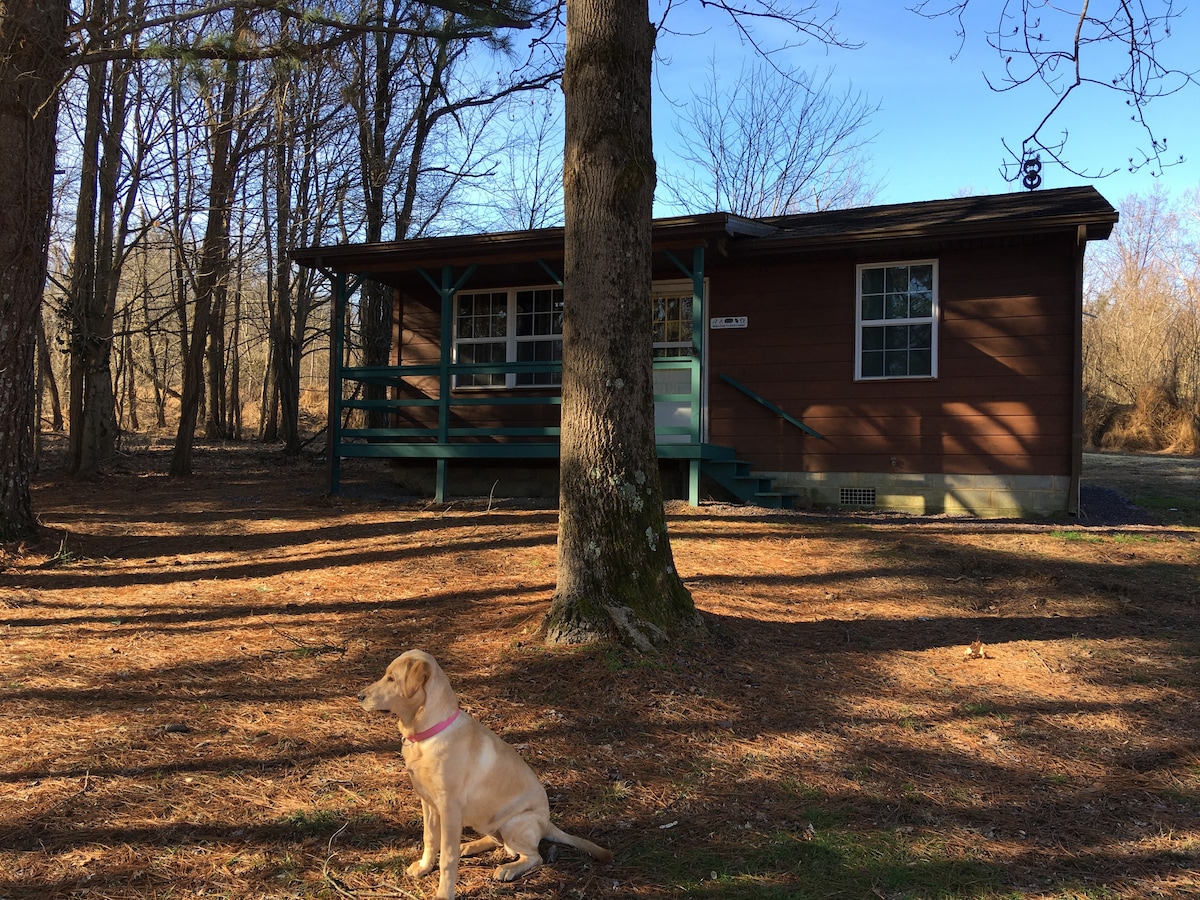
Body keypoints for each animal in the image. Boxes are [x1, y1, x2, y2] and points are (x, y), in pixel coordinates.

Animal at [357, 652, 614, 897]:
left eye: (392, 679)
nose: (359, 696)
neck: (426, 735)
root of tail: (547, 823)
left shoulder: (449, 810)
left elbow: (447, 859)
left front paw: (443, 893)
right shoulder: (428, 803)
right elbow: (429, 839)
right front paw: (423, 867)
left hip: (513, 823)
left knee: (534, 856)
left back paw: (508, 868)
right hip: (485, 819)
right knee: (495, 840)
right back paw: (469, 847)